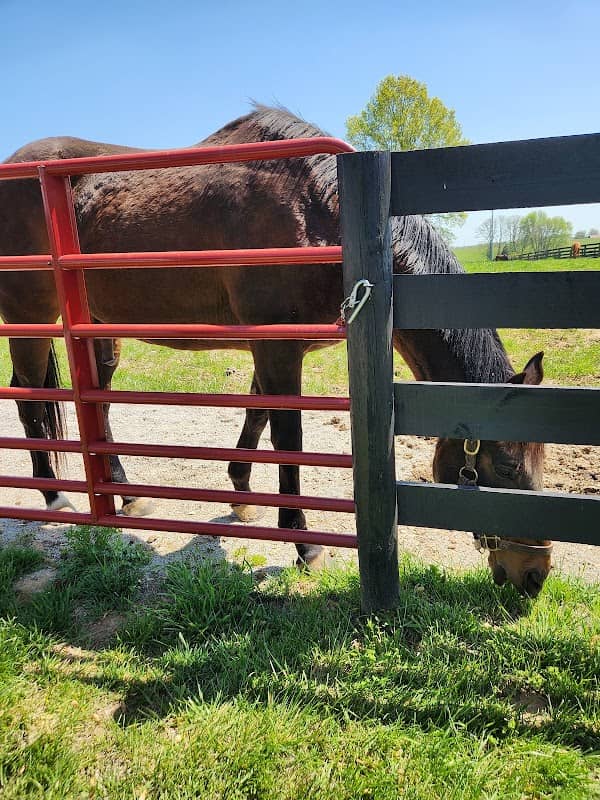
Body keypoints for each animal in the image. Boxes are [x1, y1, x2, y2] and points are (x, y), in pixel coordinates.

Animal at [0, 105, 550, 596]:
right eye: (506, 467)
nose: (534, 574)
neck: (323, 211)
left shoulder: (271, 350)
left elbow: (257, 414)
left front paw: (243, 496)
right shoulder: (278, 350)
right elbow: (288, 438)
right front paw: (304, 541)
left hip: (95, 332)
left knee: (95, 406)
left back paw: (125, 495)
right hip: (30, 319)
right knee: (30, 401)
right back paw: (54, 498)